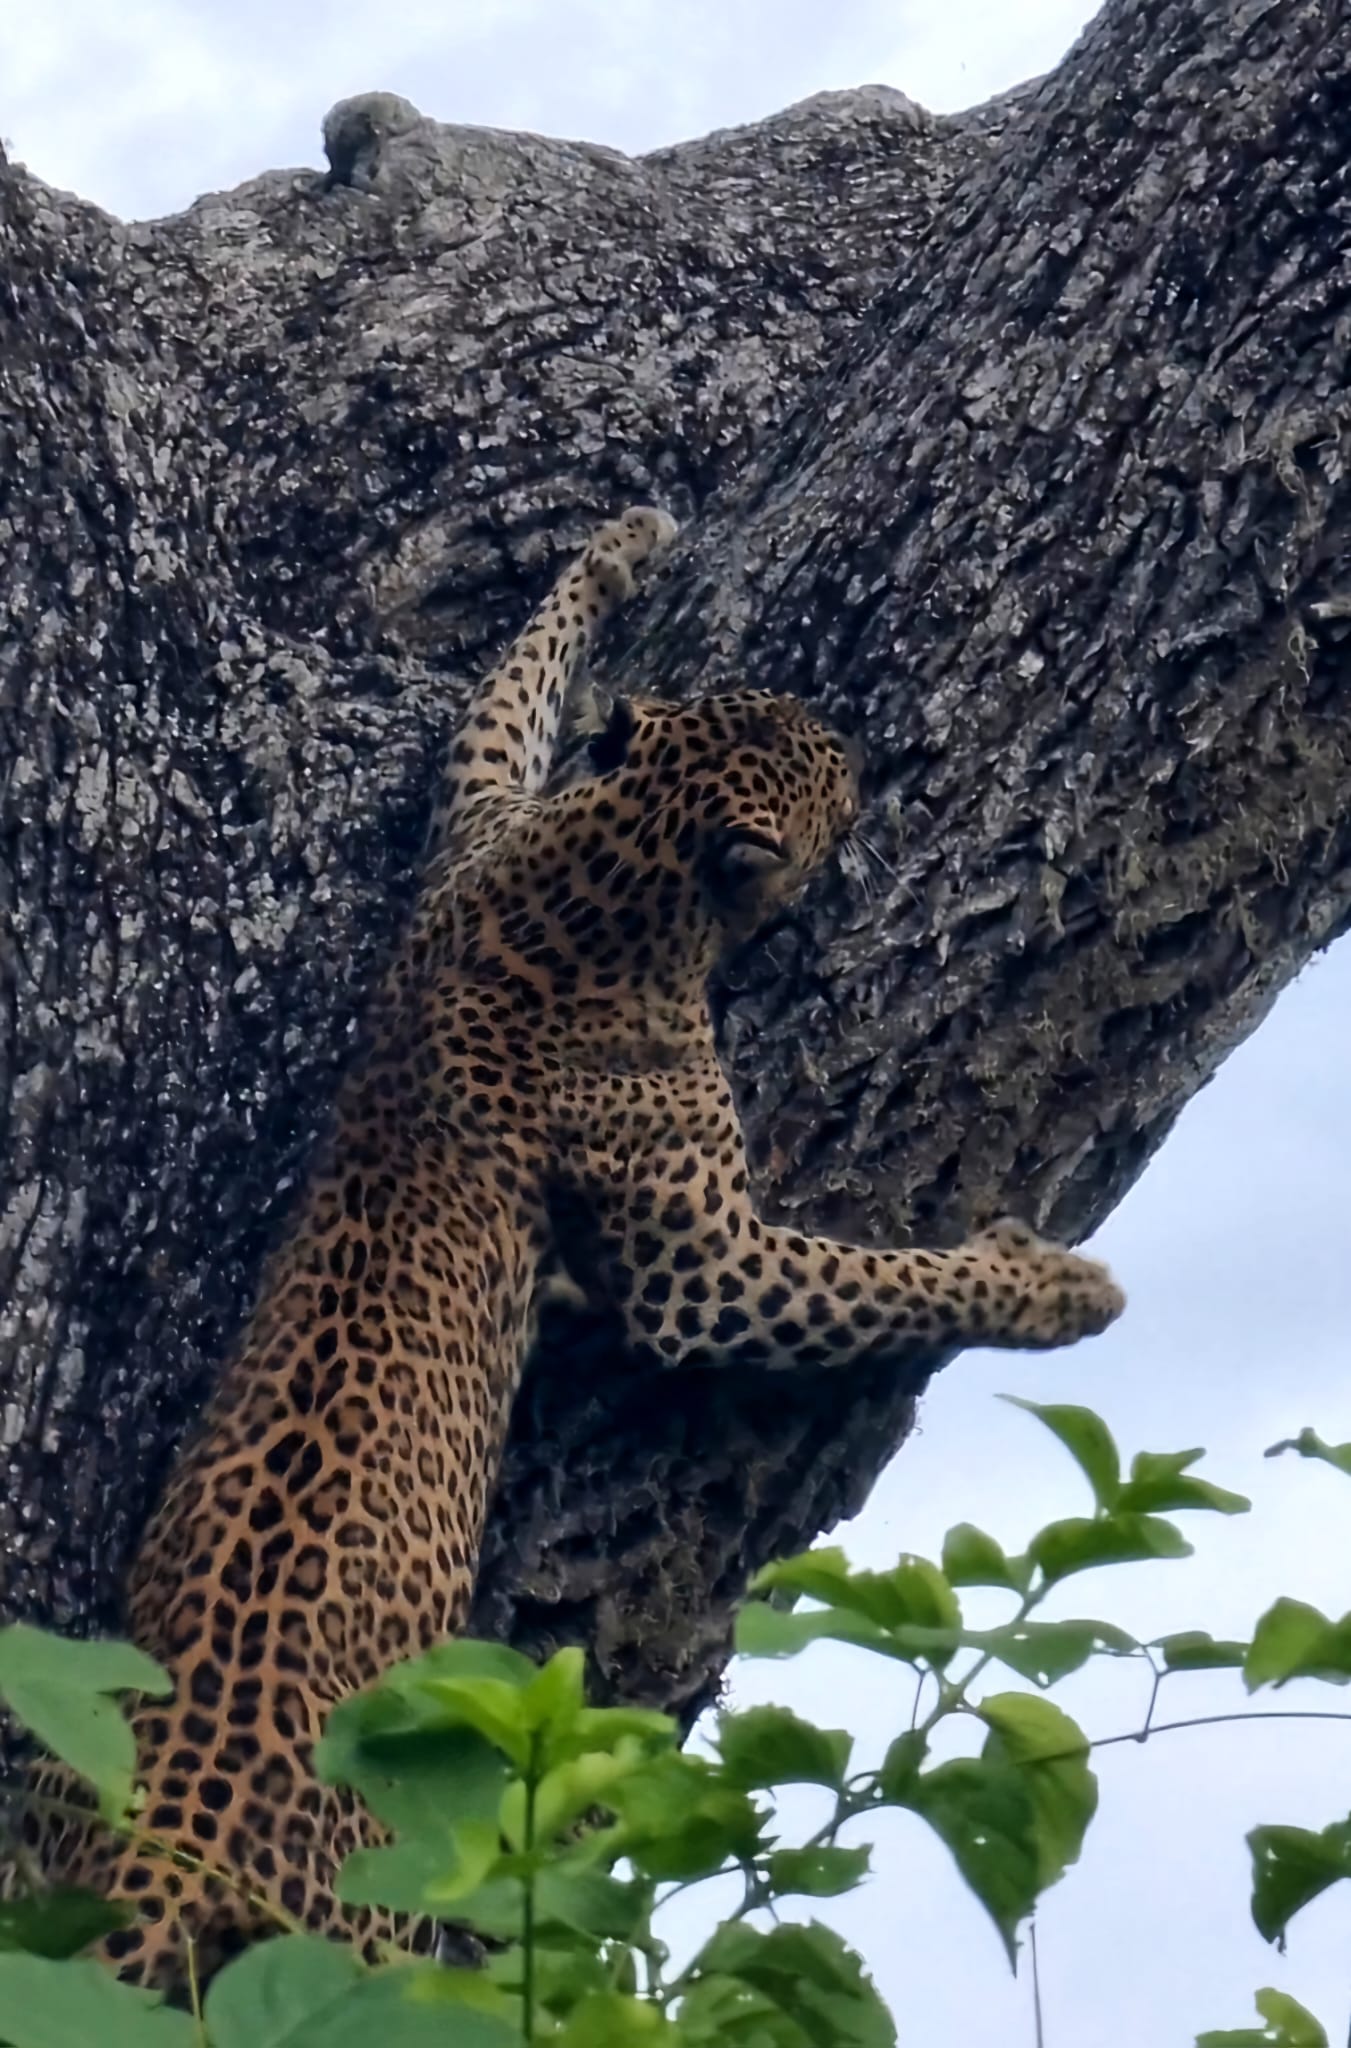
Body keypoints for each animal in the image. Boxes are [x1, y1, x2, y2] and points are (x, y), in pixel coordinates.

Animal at [9, 507, 1123, 1994]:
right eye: (822, 761)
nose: (856, 737)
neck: (606, 868)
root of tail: (170, 1852)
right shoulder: (703, 1270)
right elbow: (872, 1282)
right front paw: (1050, 1288)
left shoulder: (477, 817)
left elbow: (498, 708)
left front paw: (621, 548)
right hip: (365, 1932)